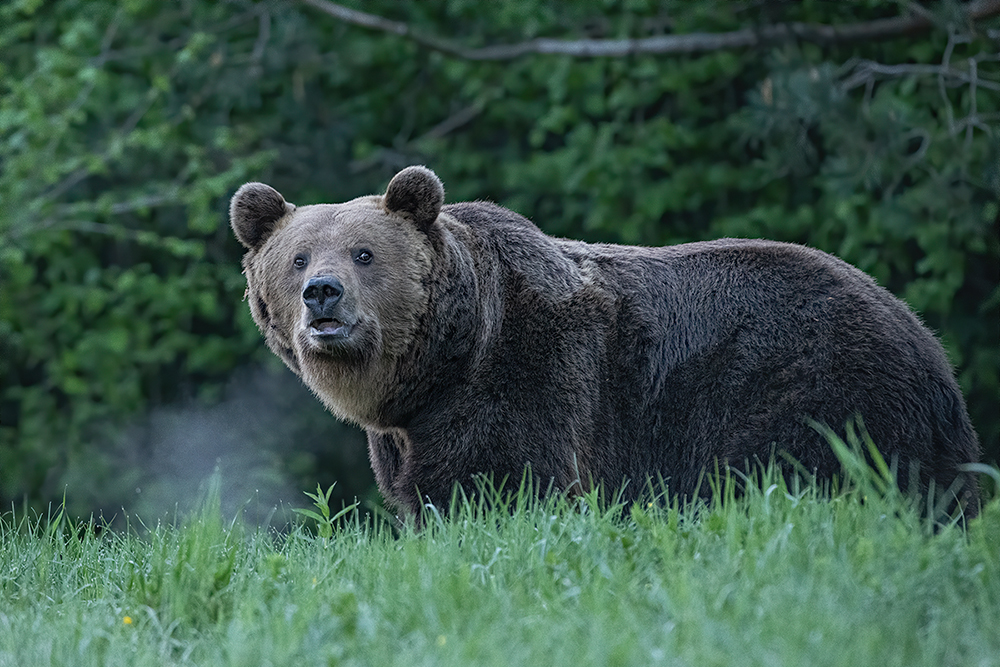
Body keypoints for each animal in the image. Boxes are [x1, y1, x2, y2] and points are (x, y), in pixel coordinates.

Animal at [230, 164, 980, 520]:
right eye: (296, 257)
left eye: (363, 253)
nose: (321, 294)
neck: (441, 366)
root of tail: (927, 342)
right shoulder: (407, 434)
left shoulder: (529, 378)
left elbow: (508, 481)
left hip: (811, 381)